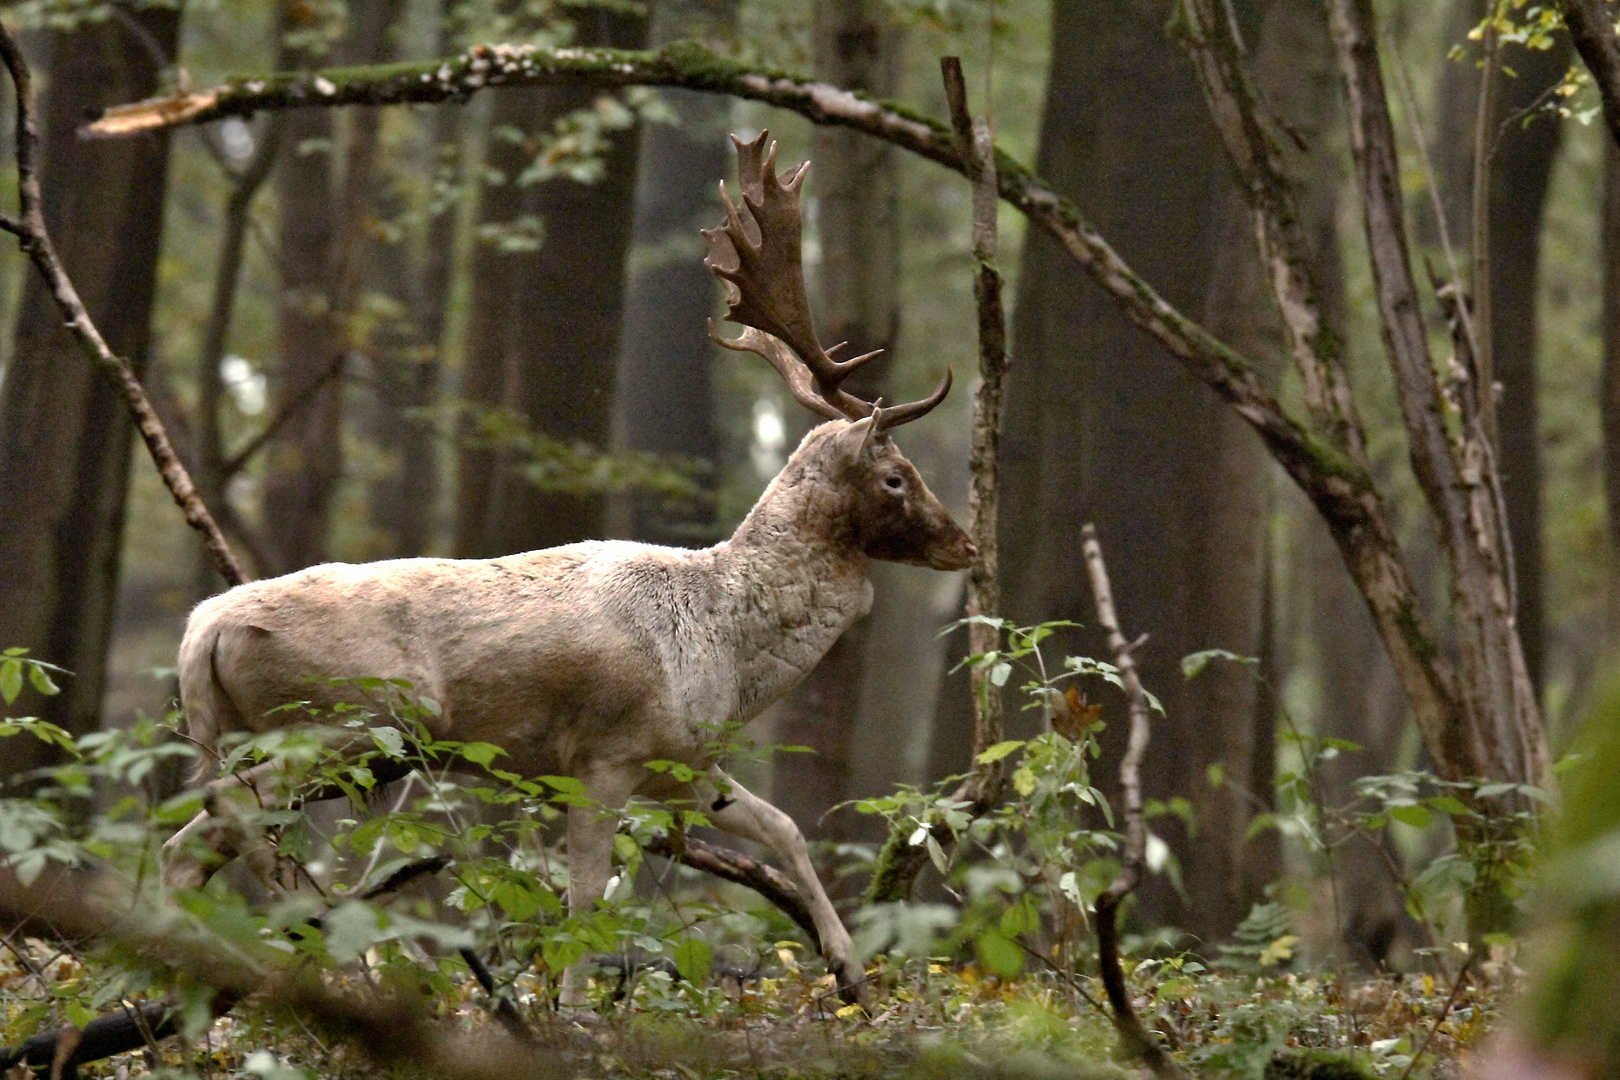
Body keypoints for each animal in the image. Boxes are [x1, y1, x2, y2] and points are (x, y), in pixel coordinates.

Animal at [164, 132, 972, 1003]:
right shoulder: (603, 757)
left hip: (282, 737)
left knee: (186, 847)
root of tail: (199, 634)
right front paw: (571, 1006)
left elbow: (784, 830)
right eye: (896, 477)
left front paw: (848, 968)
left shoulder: (685, 764)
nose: (964, 544)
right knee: (237, 829)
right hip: (345, 724)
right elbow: (584, 901)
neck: (728, 642)